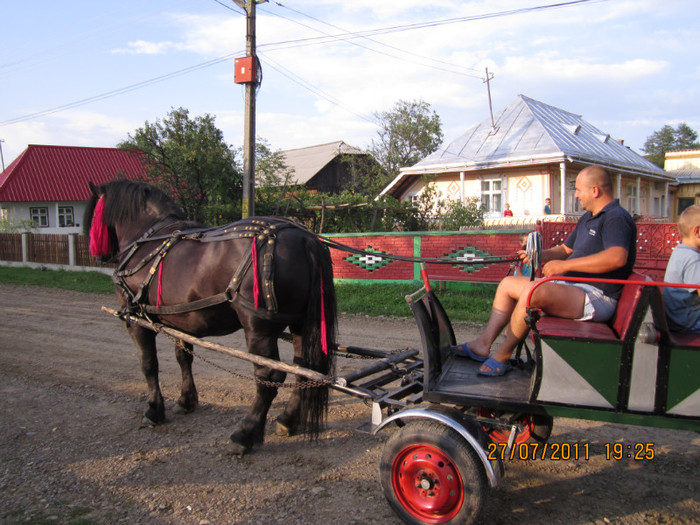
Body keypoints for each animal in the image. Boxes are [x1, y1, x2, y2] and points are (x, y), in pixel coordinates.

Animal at [85, 178, 336, 452]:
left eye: (93, 214)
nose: (96, 255)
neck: (147, 239)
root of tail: (304, 238)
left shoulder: (136, 321)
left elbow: (149, 364)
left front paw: (153, 410)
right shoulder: (179, 320)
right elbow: (183, 358)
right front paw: (186, 400)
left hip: (259, 329)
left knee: (269, 377)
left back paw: (245, 434)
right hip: (300, 323)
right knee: (305, 370)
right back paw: (287, 420)